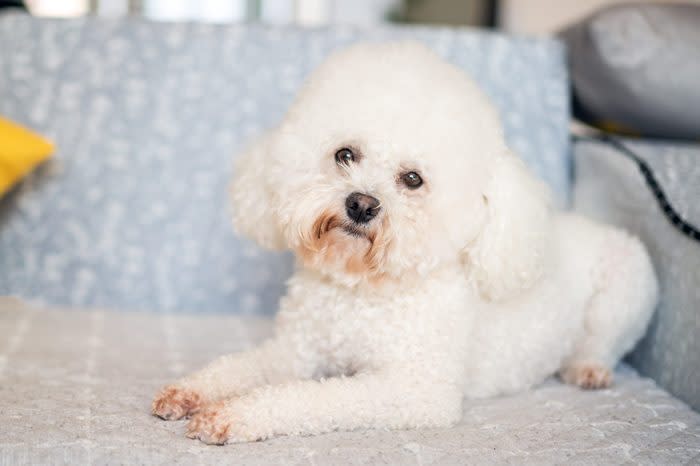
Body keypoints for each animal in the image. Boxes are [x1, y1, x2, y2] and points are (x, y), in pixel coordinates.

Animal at [150, 41, 660, 444]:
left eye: (412, 179)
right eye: (345, 154)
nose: (361, 204)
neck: (362, 290)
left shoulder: (414, 390)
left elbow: (311, 397)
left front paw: (233, 414)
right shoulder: (297, 351)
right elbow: (242, 367)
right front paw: (192, 392)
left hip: (627, 280)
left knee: (602, 340)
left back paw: (587, 368)